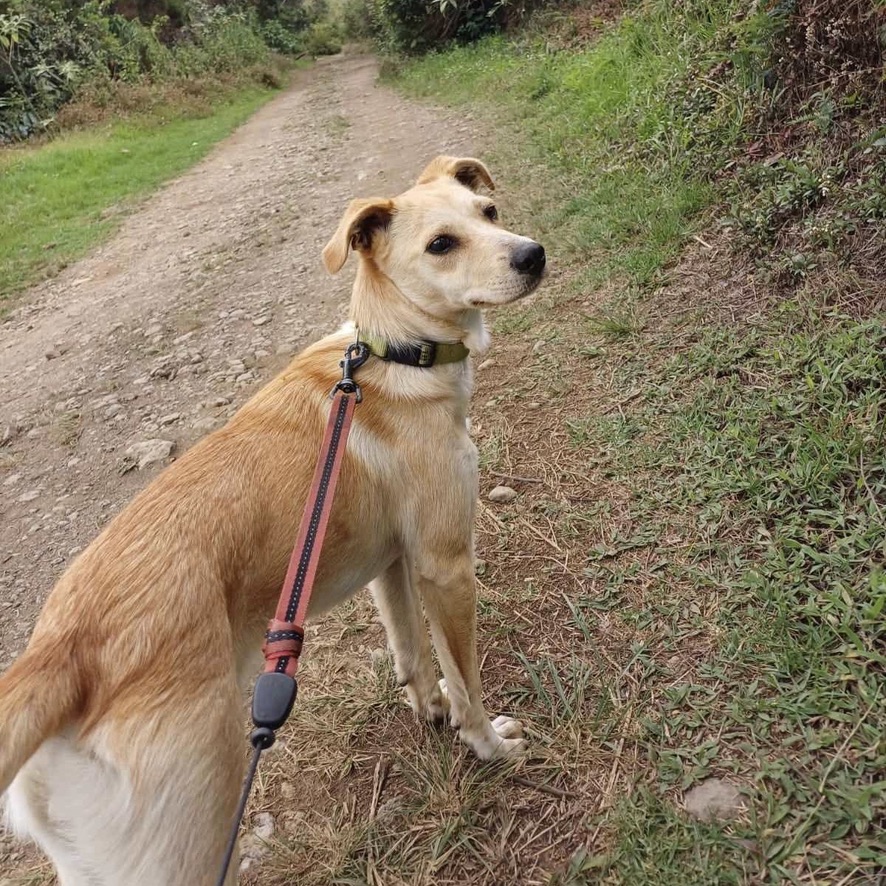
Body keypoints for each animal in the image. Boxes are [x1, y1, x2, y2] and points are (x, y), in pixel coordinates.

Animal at [0, 156, 548, 884]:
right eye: (441, 244)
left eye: (488, 212)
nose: (533, 255)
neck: (396, 352)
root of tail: (63, 650)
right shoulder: (446, 566)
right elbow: (466, 682)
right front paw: (488, 745)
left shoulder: (392, 566)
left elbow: (412, 656)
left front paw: (430, 711)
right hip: (194, 837)